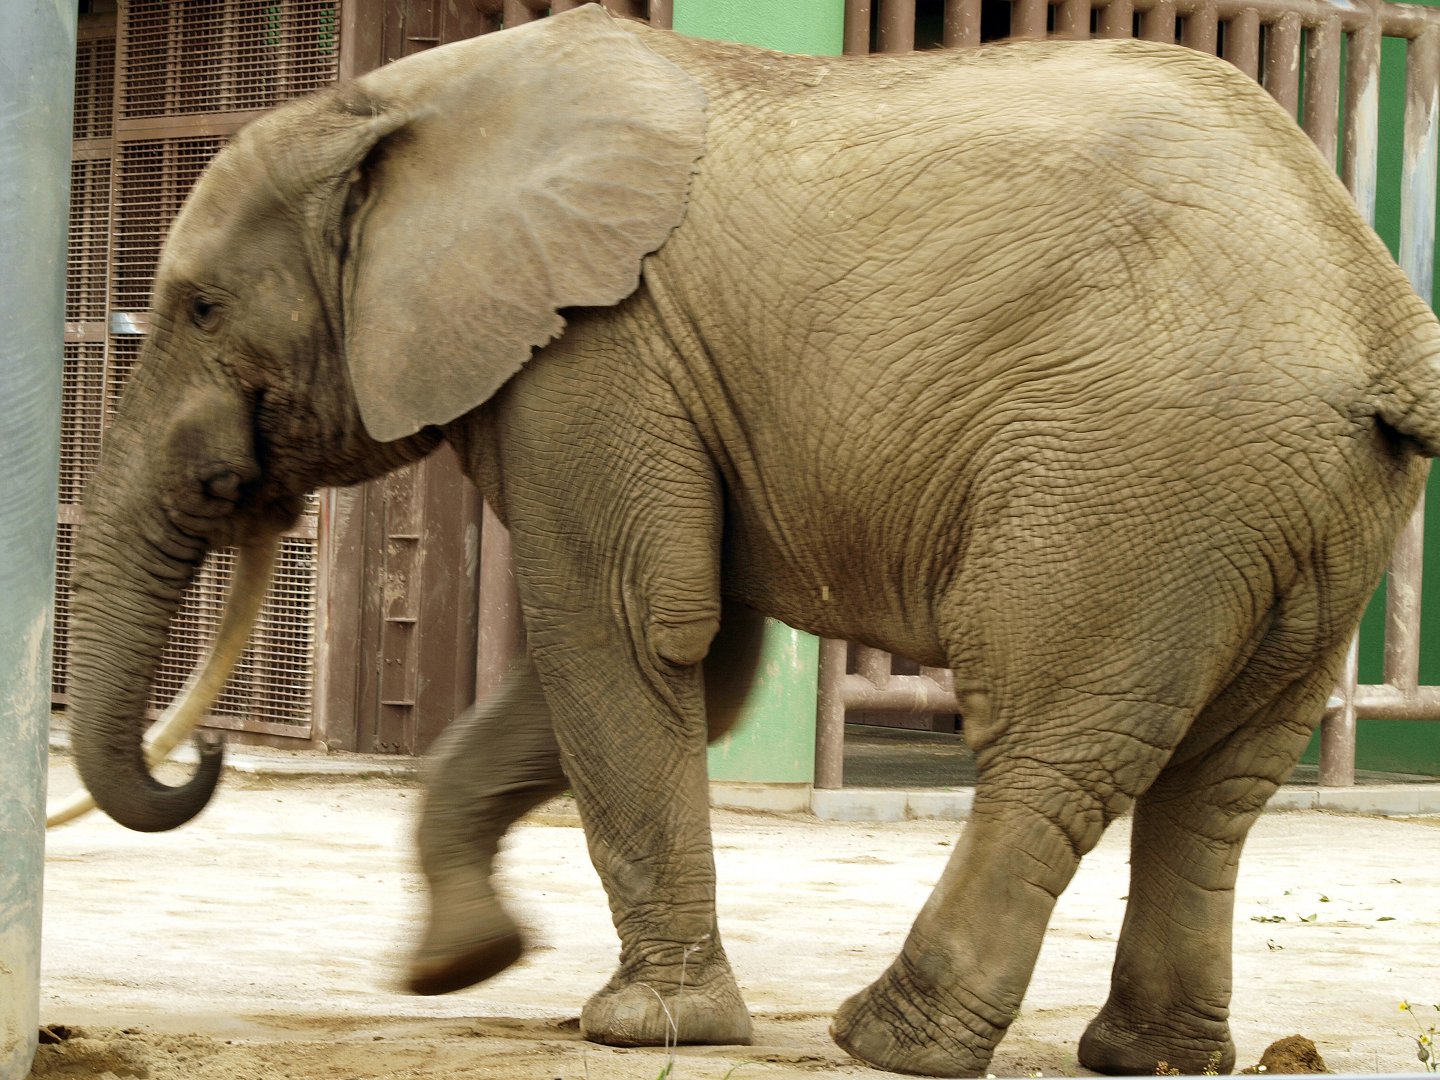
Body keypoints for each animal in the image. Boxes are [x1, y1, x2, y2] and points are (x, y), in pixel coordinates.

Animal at [55, 6, 1440, 1076]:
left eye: (201, 307)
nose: (211, 753)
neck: (405, 104)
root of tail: (1375, 314)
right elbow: (684, 665)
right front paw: (456, 967)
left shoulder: (596, 350)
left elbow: (617, 634)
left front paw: (639, 1027)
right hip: (1296, 505)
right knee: (1222, 780)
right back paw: (1146, 1056)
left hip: (1131, 474)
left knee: (1051, 745)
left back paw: (889, 1040)